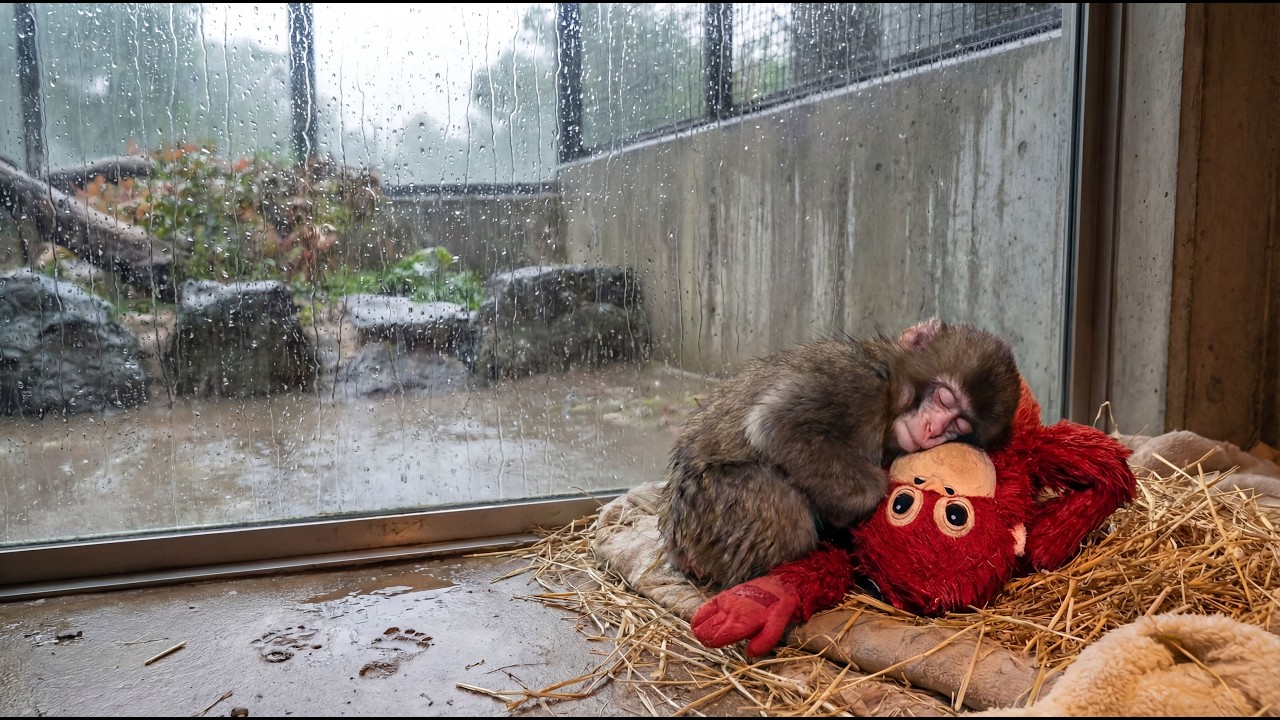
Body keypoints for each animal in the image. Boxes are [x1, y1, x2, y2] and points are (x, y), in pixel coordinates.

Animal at [657, 318, 1023, 590]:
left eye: (959, 426)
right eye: (945, 399)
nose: (933, 430)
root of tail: (676, 540)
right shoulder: (857, 384)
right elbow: (777, 423)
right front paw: (866, 497)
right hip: (716, 507)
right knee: (783, 506)